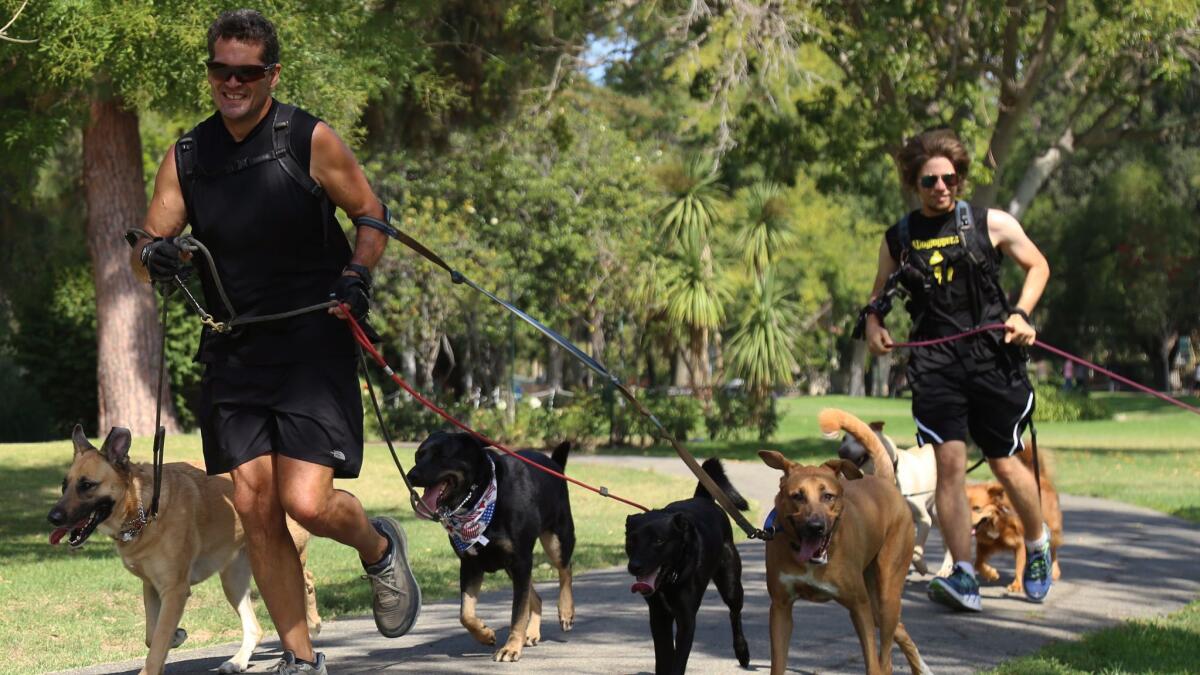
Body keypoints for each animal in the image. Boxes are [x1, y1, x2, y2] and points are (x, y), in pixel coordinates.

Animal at [763, 403, 931, 672]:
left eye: (828, 496)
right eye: (797, 496)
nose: (815, 527)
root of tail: (884, 481)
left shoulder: (859, 606)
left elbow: (872, 662)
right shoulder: (780, 607)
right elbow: (778, 663)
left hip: (886, 594)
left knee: (885, 657)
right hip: (877, 602)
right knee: (900, 630)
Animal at [835, 415, 945, 571]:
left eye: (858, 439)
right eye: (844, 439)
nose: (841, 452)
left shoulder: (924, 519)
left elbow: (915, 553)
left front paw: (921, 567)